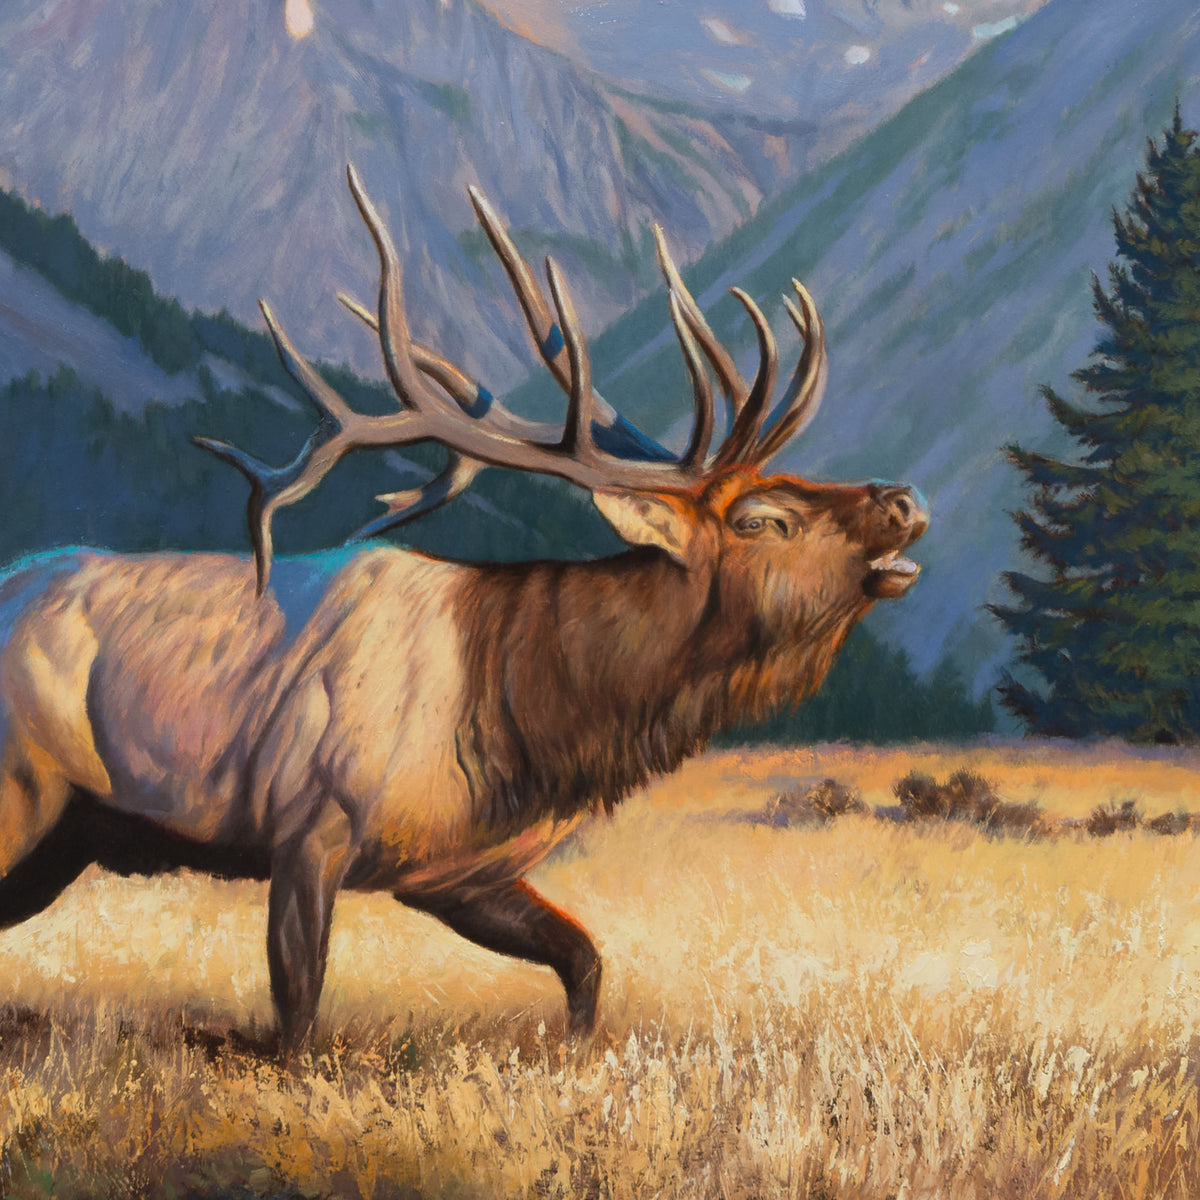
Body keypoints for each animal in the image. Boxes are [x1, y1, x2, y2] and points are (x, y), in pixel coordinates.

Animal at [0, 167, 927, 1053]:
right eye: (763, 519)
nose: (905, 499)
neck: (526, 708)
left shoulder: (455, 874)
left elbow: (585, 960)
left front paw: (577, 1055)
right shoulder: (310, 825)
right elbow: (297, 1014)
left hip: (64, 841)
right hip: (25, 790)